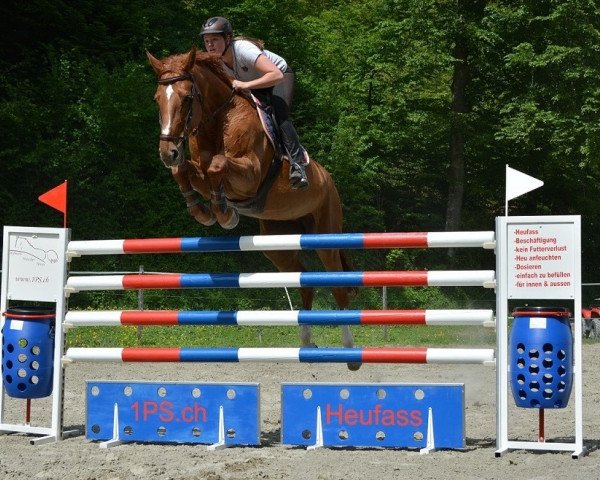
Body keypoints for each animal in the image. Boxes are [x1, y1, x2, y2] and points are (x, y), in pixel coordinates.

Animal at [147, 48, 358, 370]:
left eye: (186, 97)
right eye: (157, 98)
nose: (167, 152)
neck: (216, 119)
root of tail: (328, 179)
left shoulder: (250, 174)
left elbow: (217, 164)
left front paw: (224, 213)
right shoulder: (197, 171)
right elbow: (185, 171)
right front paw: (204, 211)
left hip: (326, 234)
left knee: (337, 285)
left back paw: (349, 351)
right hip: (276, 244)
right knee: (304, 282)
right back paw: (307, 343)